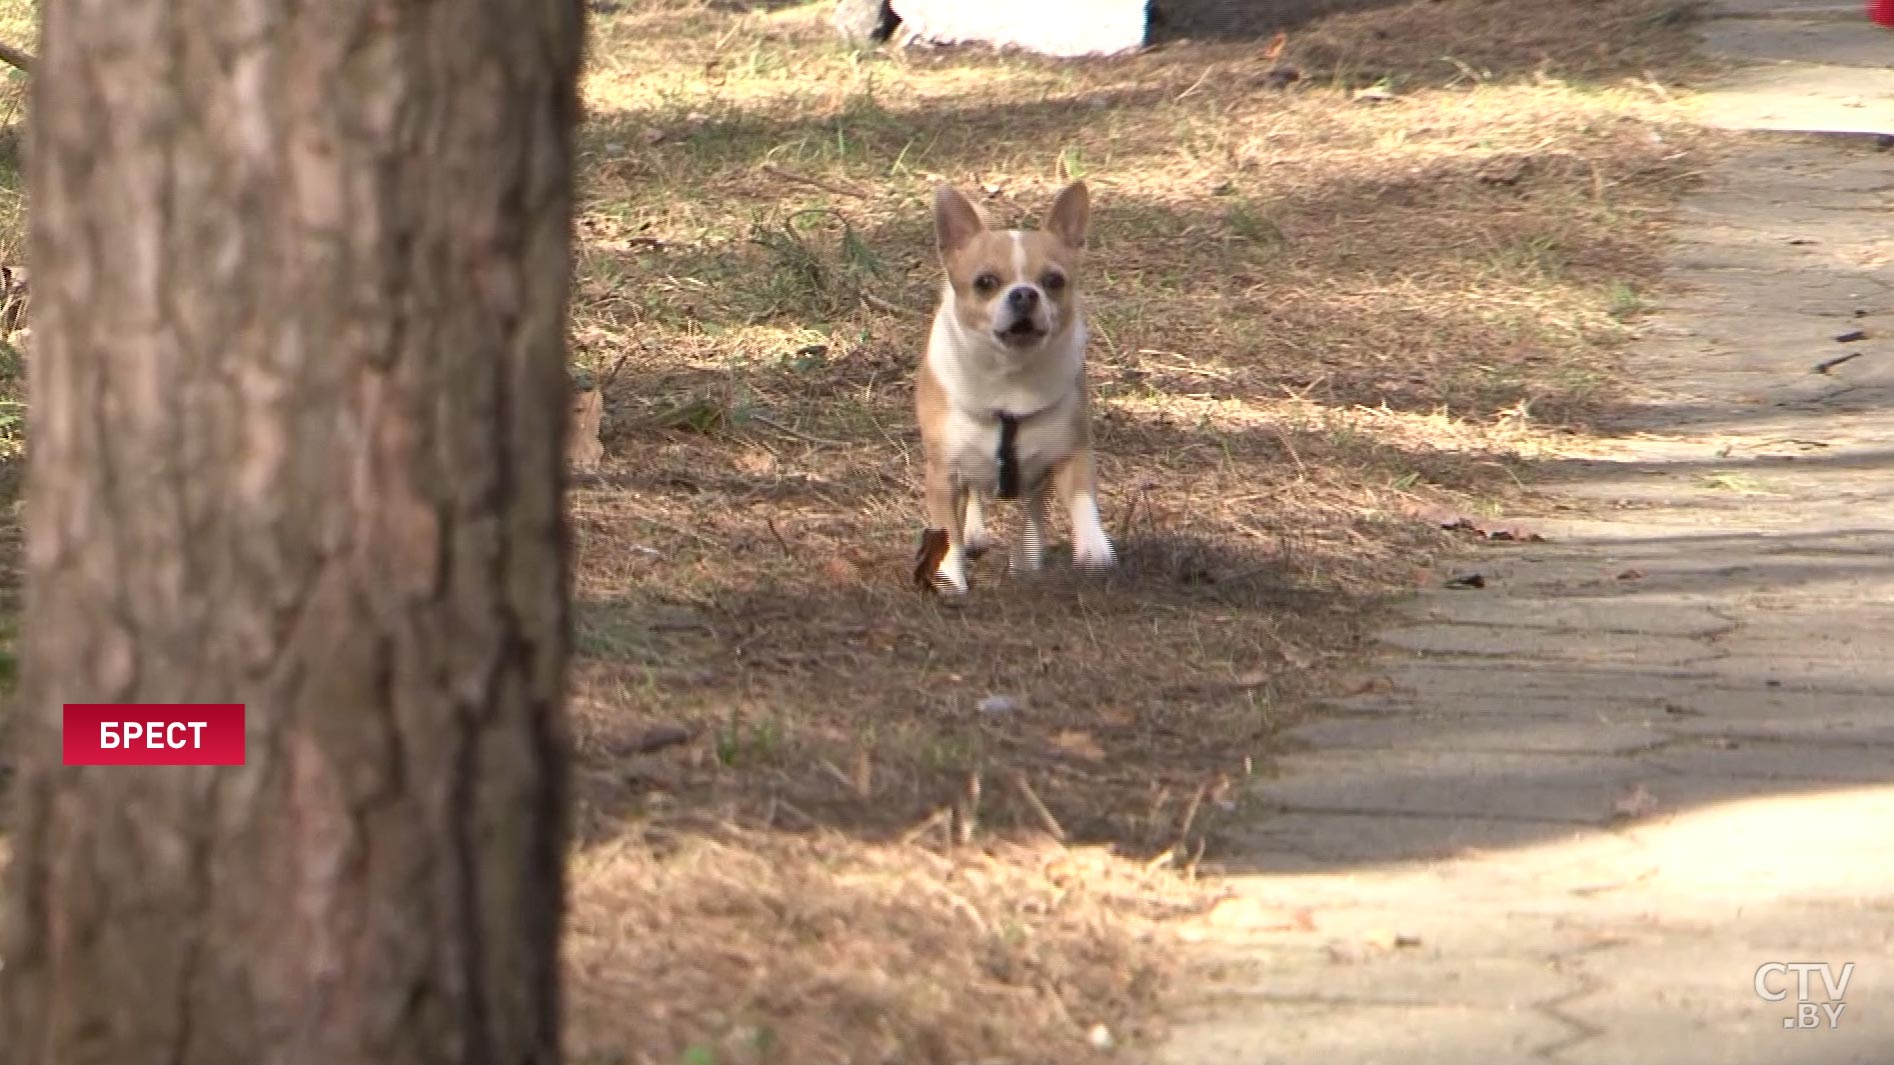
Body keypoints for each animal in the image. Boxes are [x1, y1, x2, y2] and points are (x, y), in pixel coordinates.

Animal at [912, 175, 1113, 587]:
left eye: (1054, 281)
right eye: (985, 282)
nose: (1024, 293)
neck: (1011, 376)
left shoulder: (1068, 452)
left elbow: (1081, 498)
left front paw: (1093, 546)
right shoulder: (944, 475)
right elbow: (948, 532)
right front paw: (952, 579)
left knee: (1030, 512)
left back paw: (1027, 559)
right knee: (974, 500)